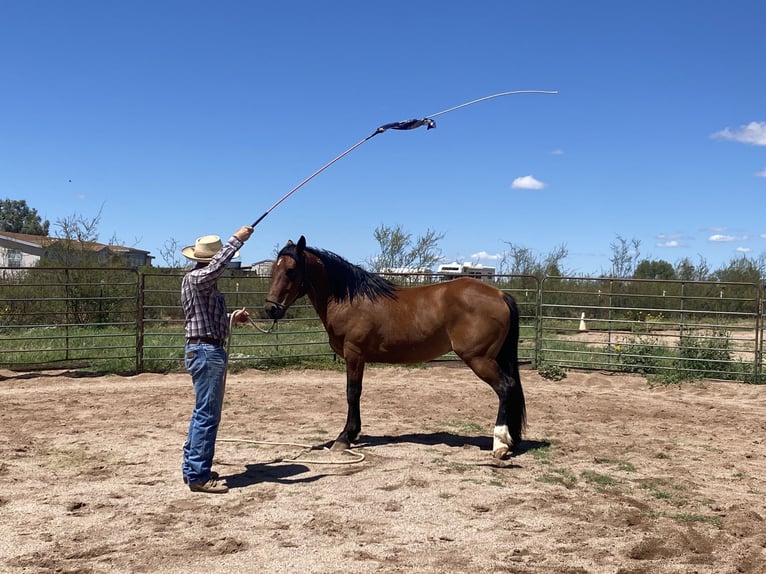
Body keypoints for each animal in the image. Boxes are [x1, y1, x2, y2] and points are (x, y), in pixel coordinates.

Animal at [266, 237, 528, 460]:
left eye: (291, 270)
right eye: (273, 271)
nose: (270, 309)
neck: (348, 299)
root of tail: (500, 294)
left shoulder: (354, 354)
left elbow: (353, 393)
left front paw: (345, 436)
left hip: (479, 359)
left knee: (505, 388)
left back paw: (500, 444)